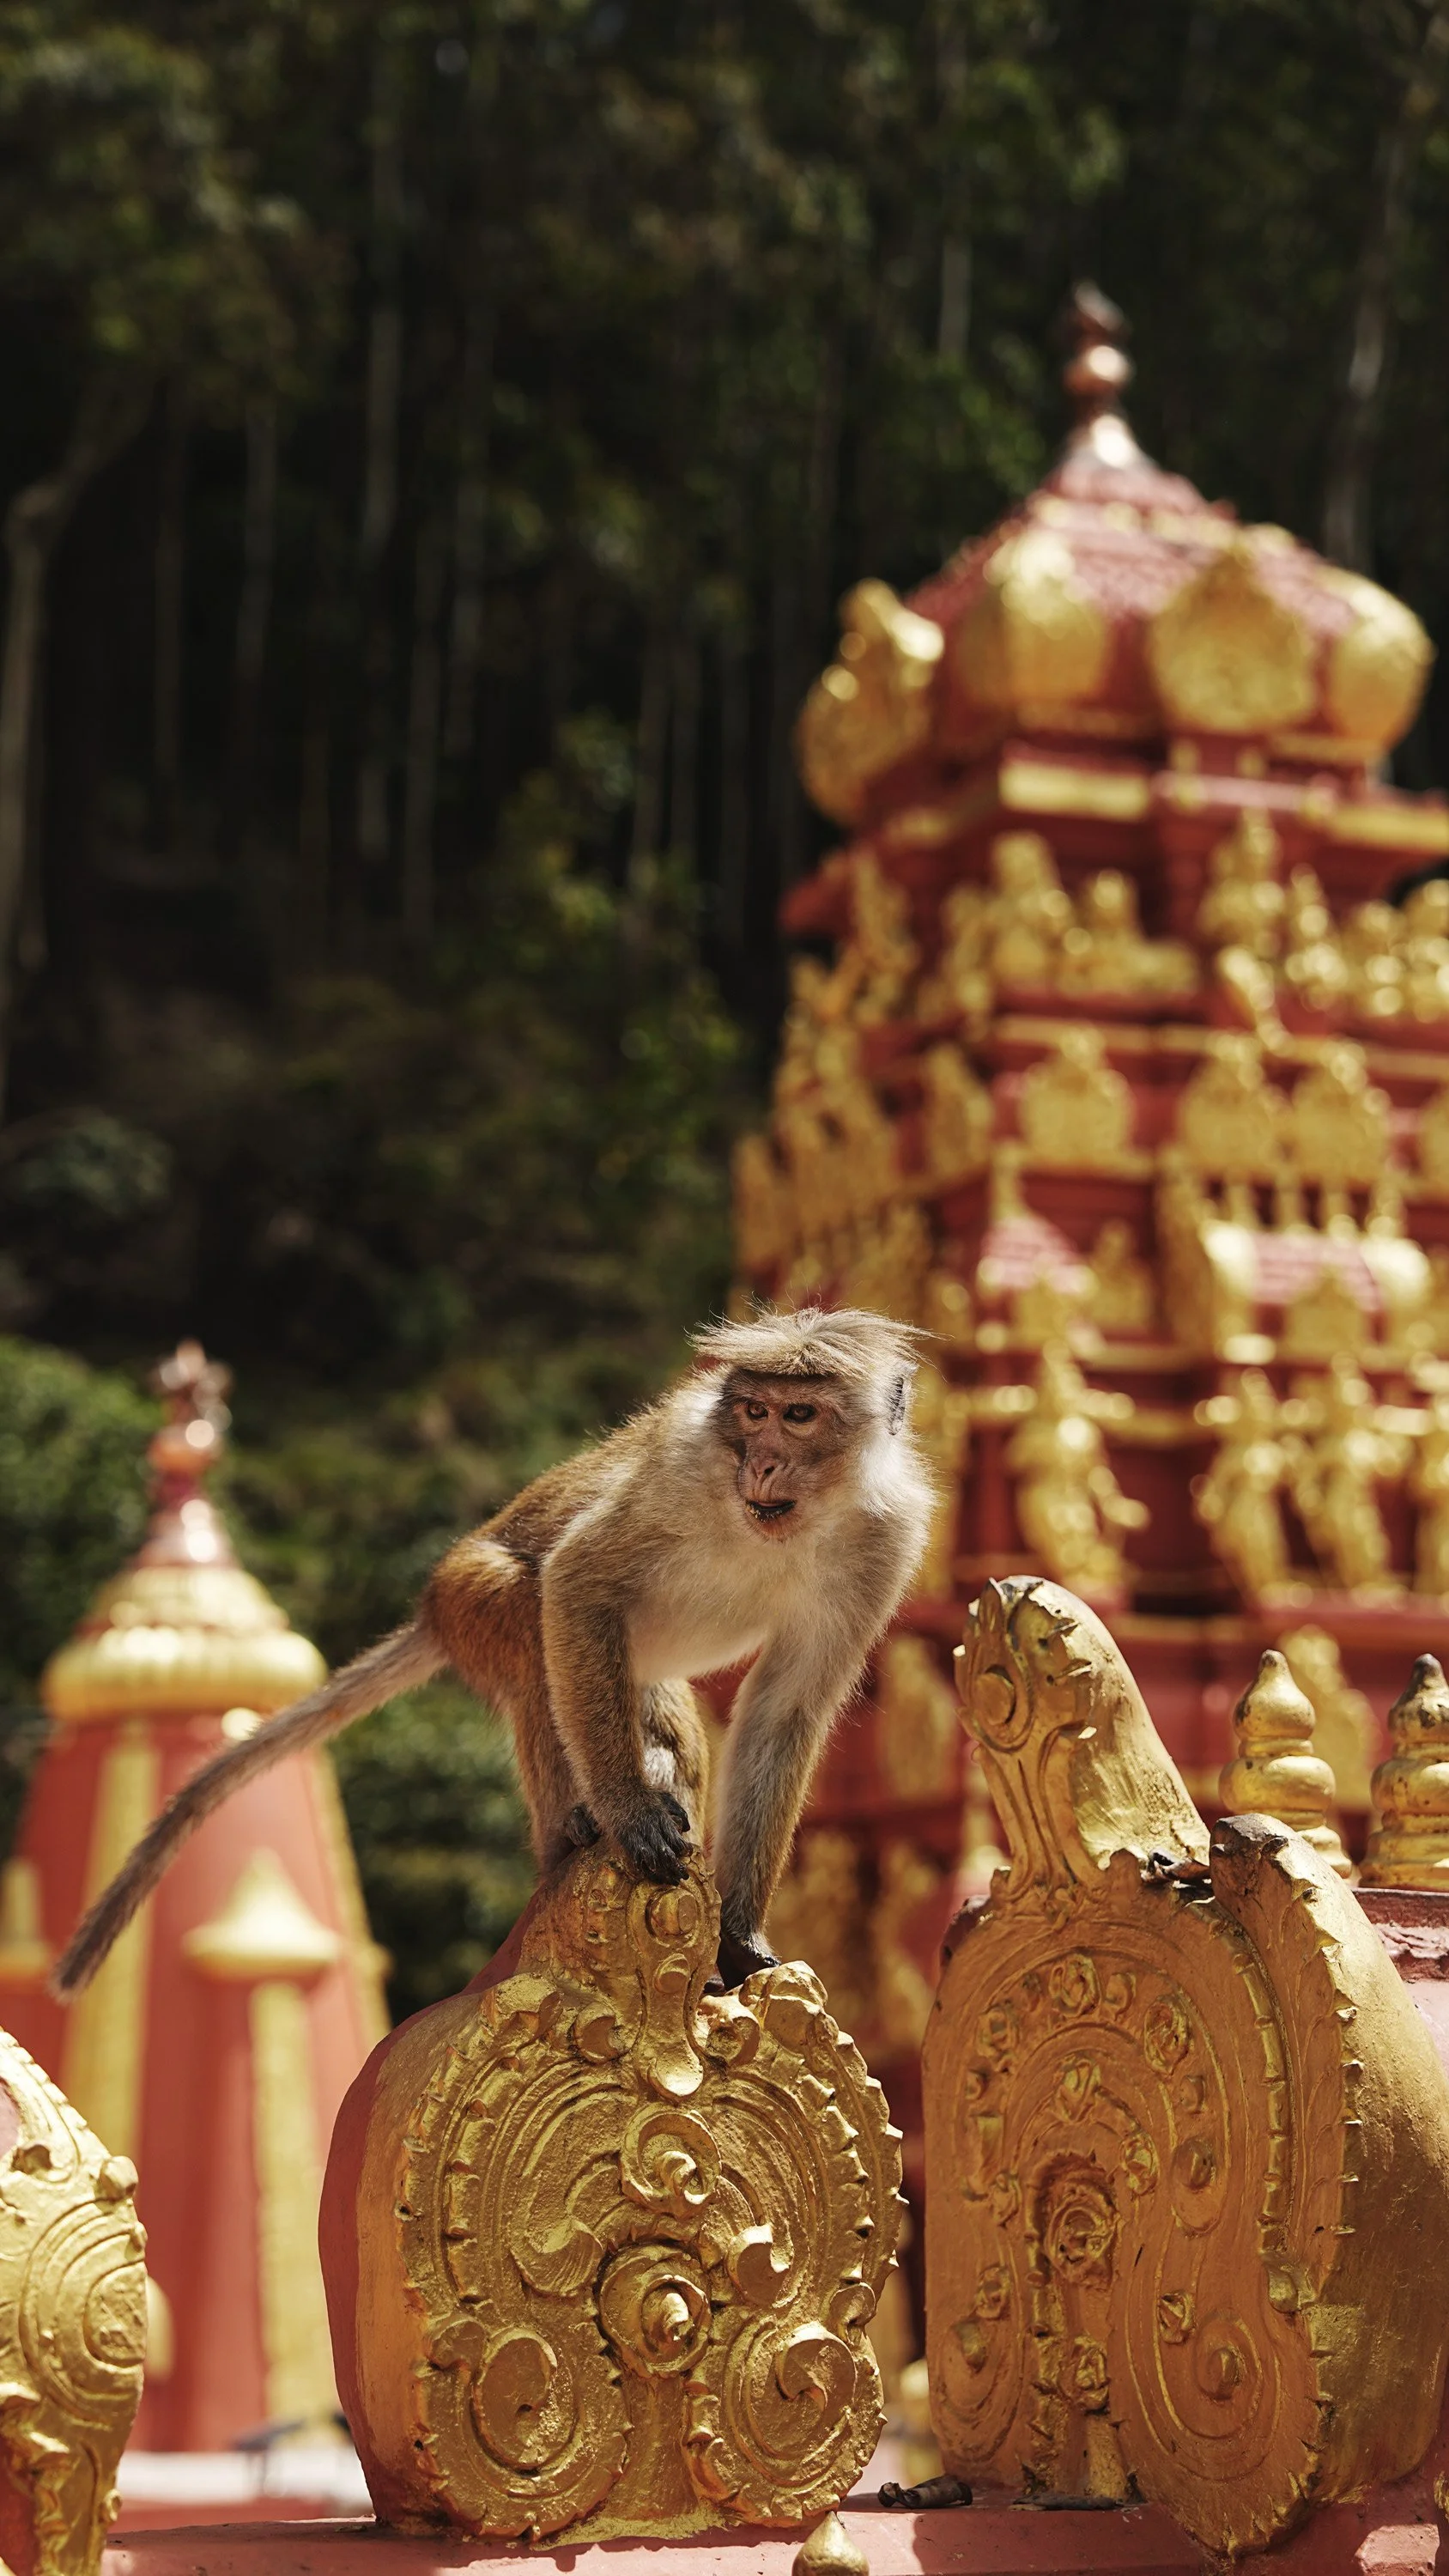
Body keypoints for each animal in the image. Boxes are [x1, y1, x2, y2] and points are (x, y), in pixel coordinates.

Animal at [54, 1306, 934, 1998]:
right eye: (752, 1411)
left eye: (799, 1416)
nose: (761, 1459)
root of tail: (429, 1610)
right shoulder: (684, 1474)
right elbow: (575, 1583)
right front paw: (630, 1814)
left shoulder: (884, 1541)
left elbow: (785, 1709)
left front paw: (741, 1935)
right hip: (467, 1600)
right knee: (525, 1610)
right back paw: (571, 1835)